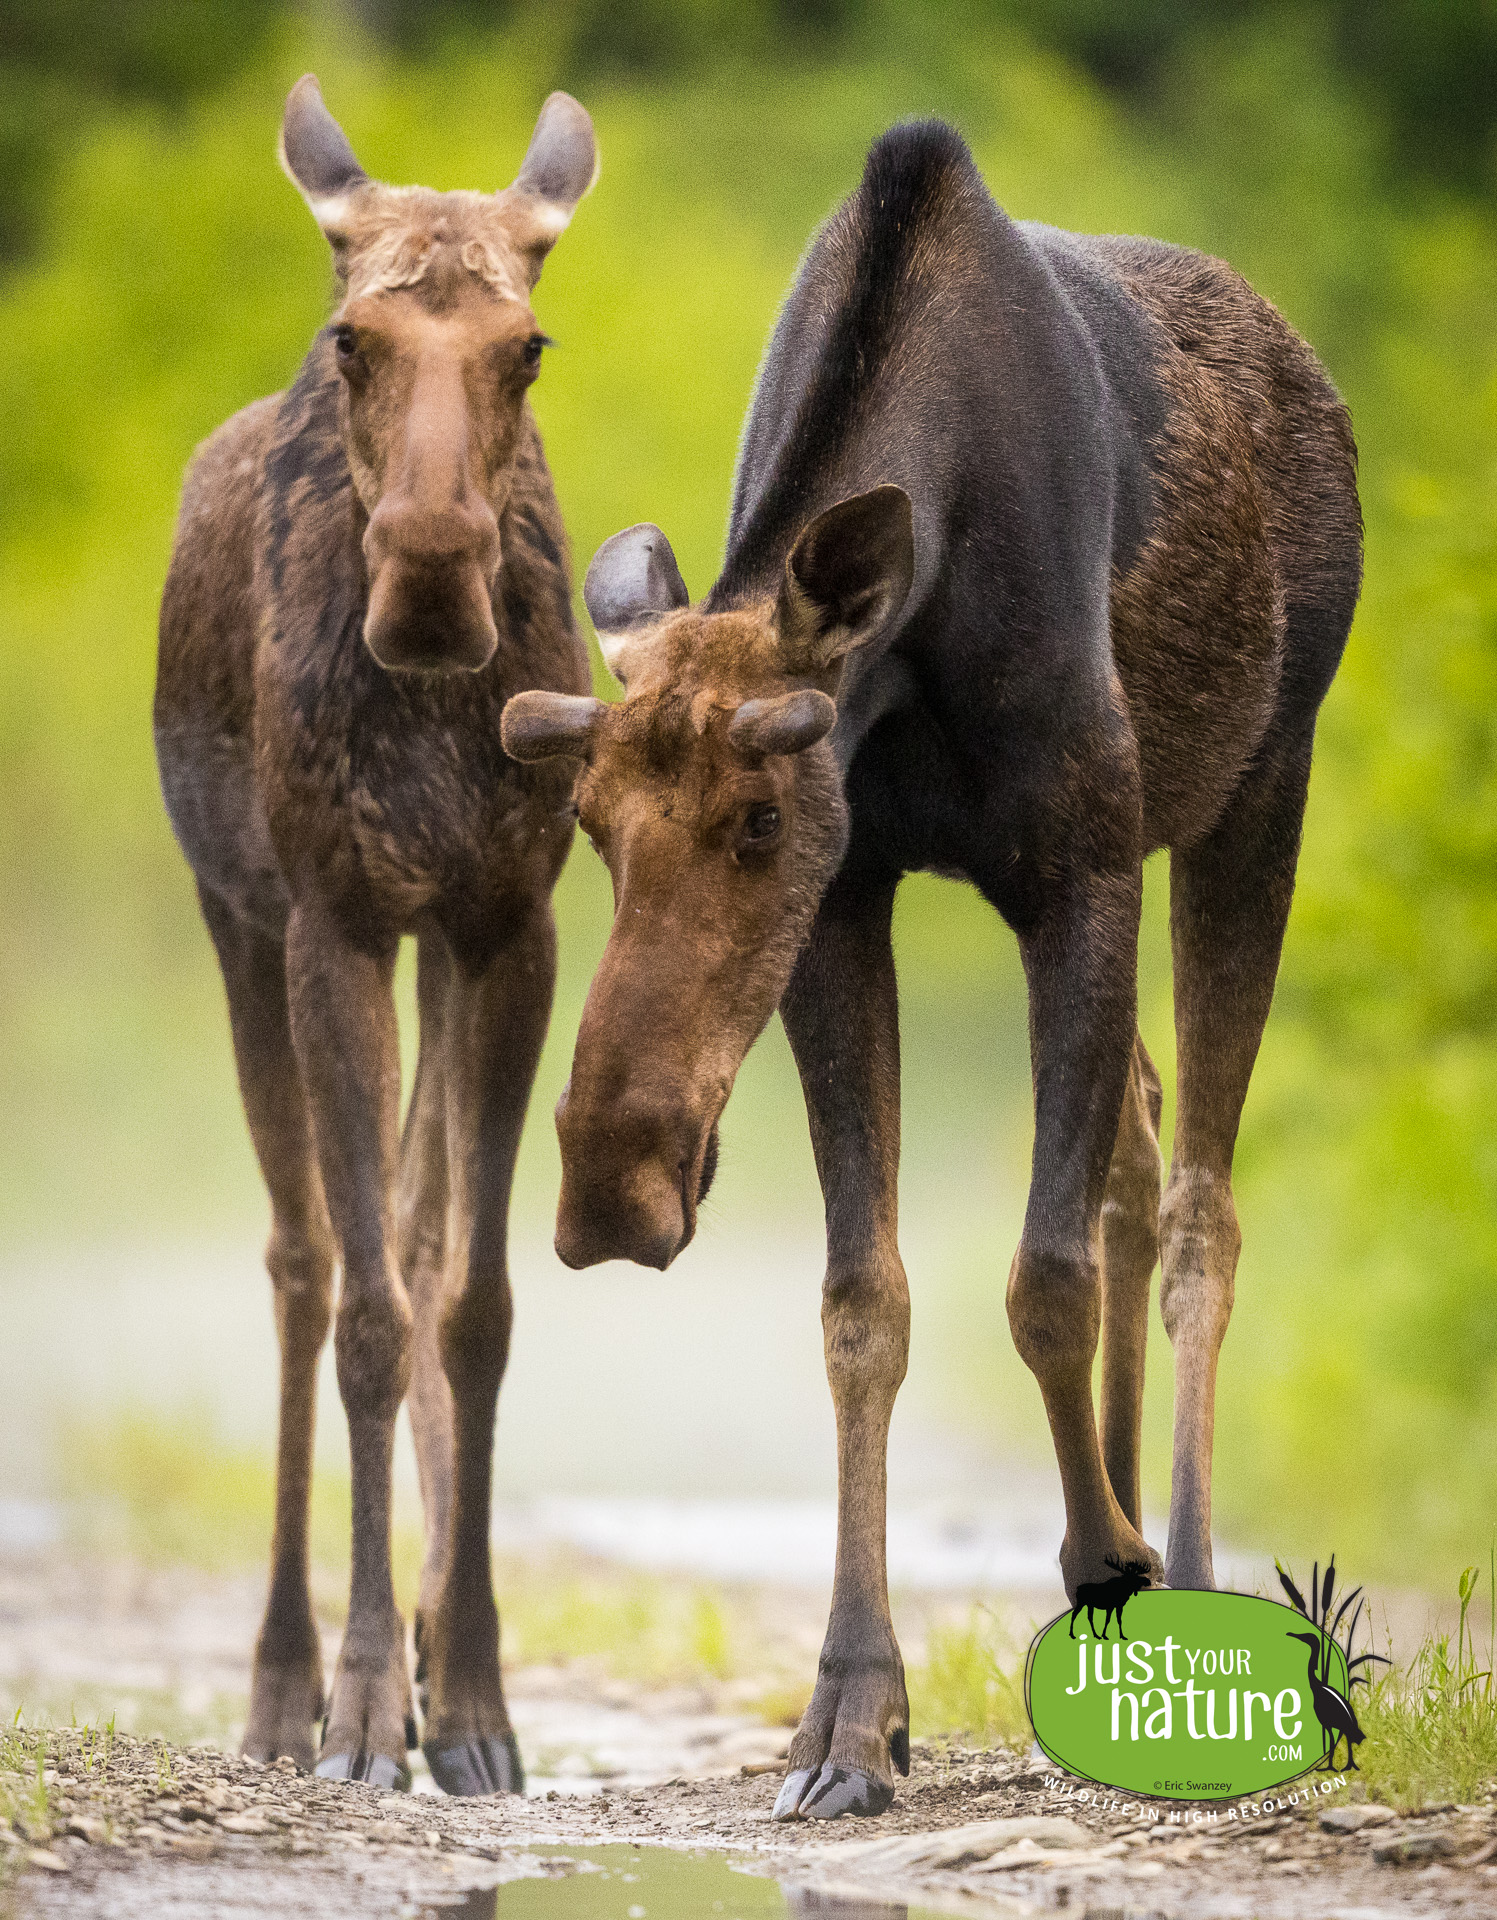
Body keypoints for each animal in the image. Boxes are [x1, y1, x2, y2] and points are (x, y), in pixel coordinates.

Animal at [153, 71, 594, 1781]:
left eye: (526, 344)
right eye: (353, 339)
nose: (428, 580)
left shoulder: (505, 919)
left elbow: (471, 1303)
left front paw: (467, 1693)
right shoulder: (331, 918)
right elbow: (362, 1313)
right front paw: (353, 1703)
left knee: (401, 1230)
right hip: (236, 914)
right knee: (300, 1258)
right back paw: (282, 1683)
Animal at [499, 120, 1358, 1812]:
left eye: (761, 816)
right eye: (589, 825)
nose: (610, 1192)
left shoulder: (1078, 863)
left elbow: (1041, 1278)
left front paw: (1110, 1559)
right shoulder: (857, 898)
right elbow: (863, 1298)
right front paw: (852, 1714)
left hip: (1256, 788)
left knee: (1197, 1200)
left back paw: (1189, 1560)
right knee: (1135, 1141)